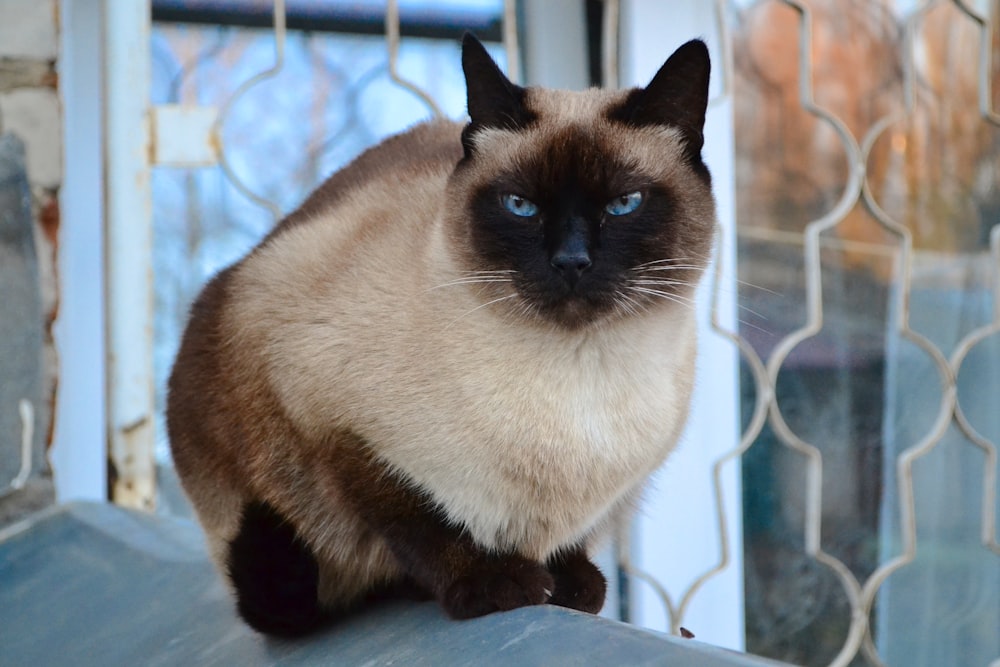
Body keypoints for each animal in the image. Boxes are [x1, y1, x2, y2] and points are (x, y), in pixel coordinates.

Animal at [170, 35, 720, 636]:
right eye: (520, 205)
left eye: (624, 204)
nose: (571, 262)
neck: (577, 376)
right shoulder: (329, 421)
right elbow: (417, 518)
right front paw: (493, 584)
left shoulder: (622, 484)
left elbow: (568, 542)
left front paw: (569, 584)